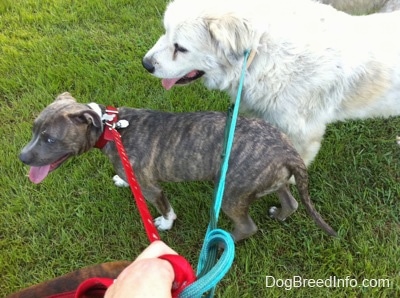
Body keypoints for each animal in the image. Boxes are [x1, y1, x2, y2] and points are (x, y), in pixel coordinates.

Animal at [19, 92, 338, 241]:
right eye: (34, 130)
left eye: (49, 138)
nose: (22, 157)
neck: (111, 128)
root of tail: (288, 151)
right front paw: (122, 180)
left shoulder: (151, 188)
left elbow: (164, 208)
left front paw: (166, 223)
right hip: (270, 179)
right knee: (290, 201)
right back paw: (281, 213)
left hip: (232, 194)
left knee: (247, 226)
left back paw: (219, 242)